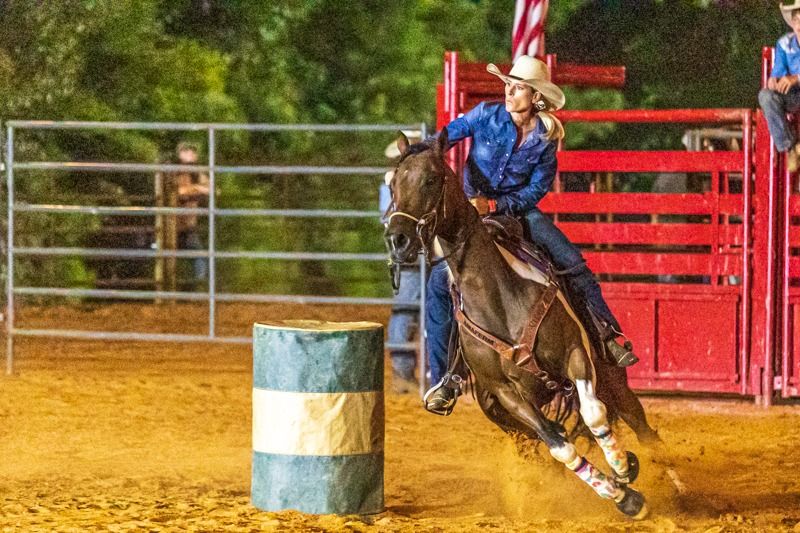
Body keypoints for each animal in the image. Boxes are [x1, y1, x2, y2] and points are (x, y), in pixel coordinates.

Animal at [384, 130, 660, 520]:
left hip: (613, 378)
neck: (498, 297)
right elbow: (561, 447)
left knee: (641, 427)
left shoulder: (576, 354)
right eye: (393, 184)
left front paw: (623, 467)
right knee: (552, 442)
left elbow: (594, 415)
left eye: (431, 179)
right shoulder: (506, 395)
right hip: (503, 416)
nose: (398, 239)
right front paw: (624, 496)